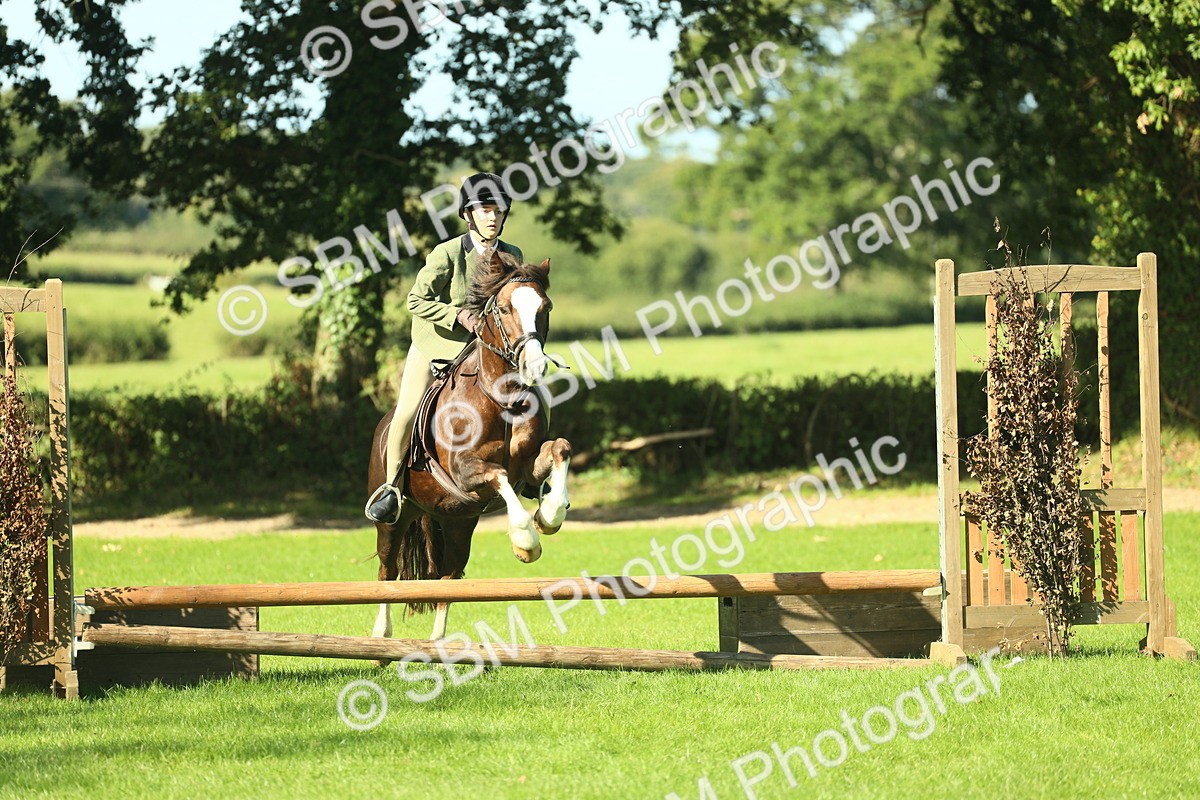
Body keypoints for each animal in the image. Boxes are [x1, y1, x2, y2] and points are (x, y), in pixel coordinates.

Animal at [367, 251, 572, 648]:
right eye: (504, 308)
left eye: (545, 307)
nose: (535, 366)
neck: (502, 395)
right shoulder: (465, 470)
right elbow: (499, 474)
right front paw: (526, 541)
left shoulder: (527, 464)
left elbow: (560, 449)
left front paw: (550, 514)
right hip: (394, 519)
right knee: (388, 570)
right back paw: (381, 638)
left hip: (457, 521)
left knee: (448, 579)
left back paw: (437, 642)